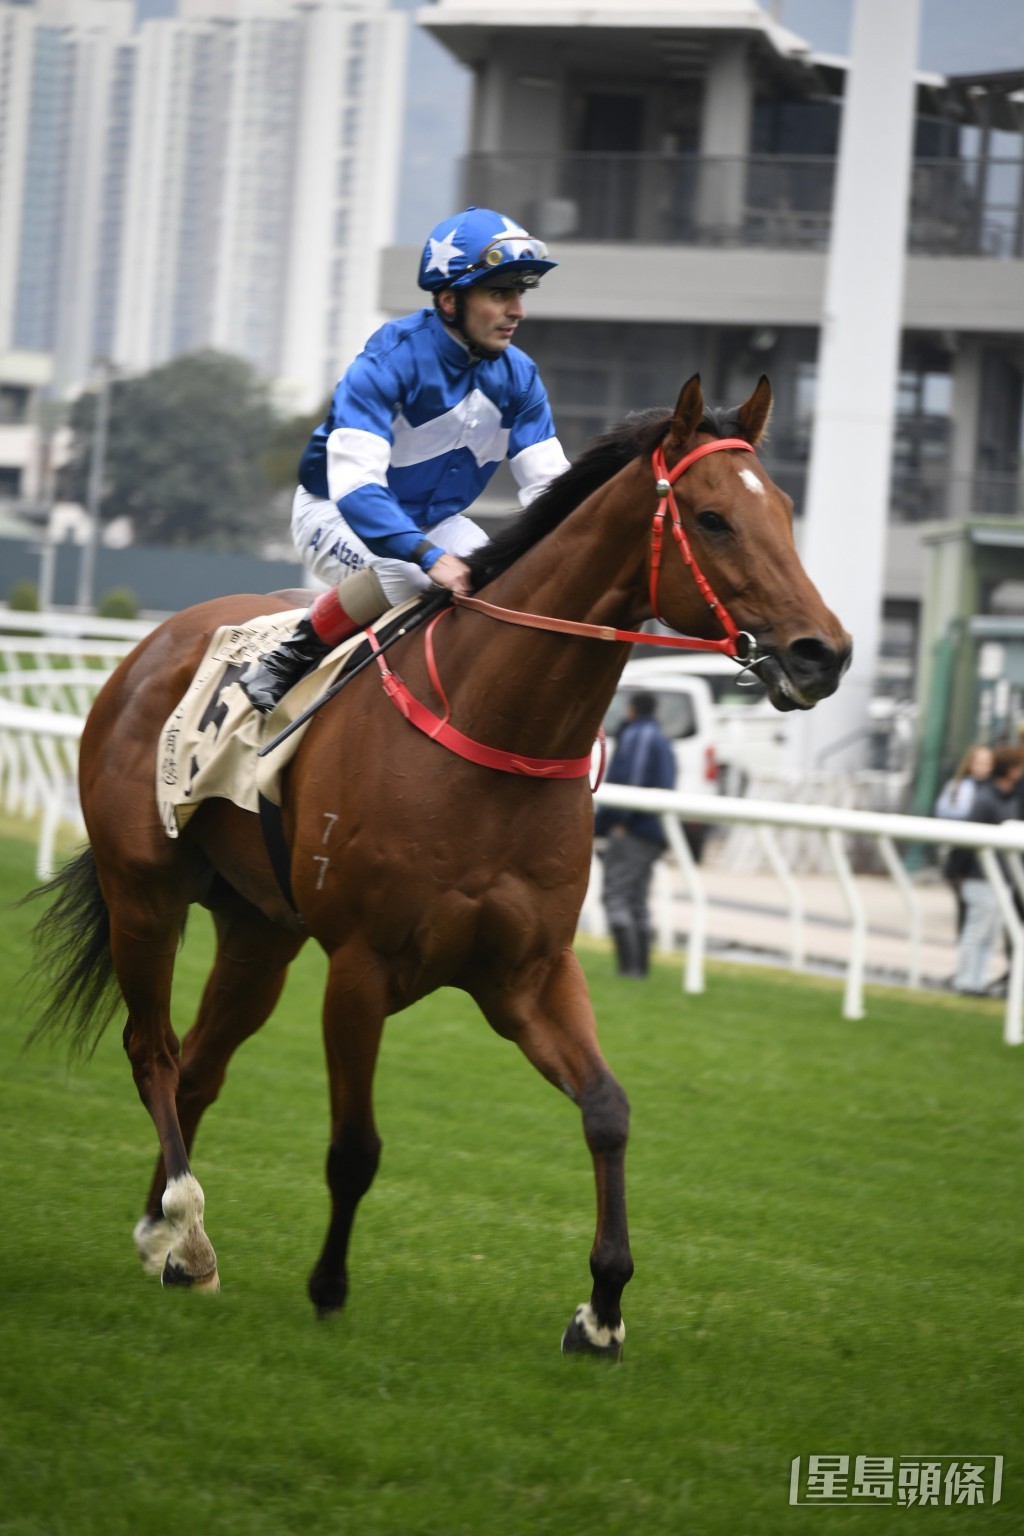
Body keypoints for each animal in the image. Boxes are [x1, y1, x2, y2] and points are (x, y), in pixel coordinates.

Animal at [28, 375, 850, 1357]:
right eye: (714, 518)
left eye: (789, 512)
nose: (824, 652)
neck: (496, 726)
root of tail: (149, 648)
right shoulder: (361, 967)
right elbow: (356, 1147)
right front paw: (329, 1287)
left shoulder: (529, 971)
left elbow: (607, 1110)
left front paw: (603, 1308)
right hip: (145, 893)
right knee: (151, 1050)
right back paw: (181, 1222)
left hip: (259, 931)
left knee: (198, 1066)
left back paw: (174, 1241)